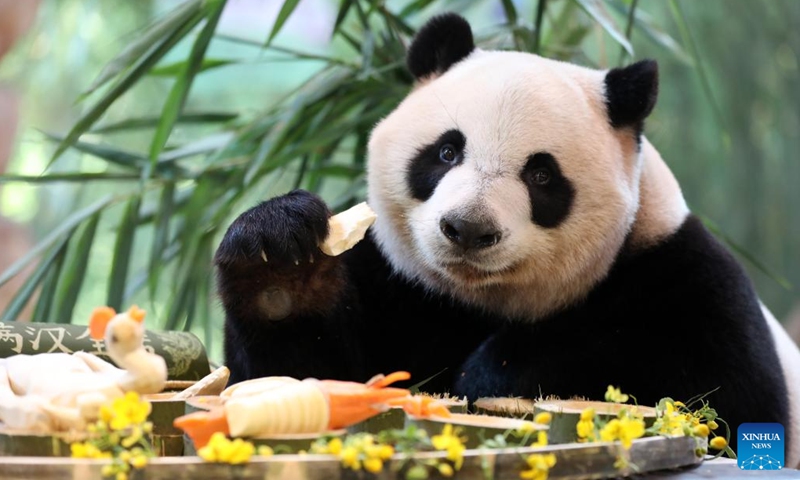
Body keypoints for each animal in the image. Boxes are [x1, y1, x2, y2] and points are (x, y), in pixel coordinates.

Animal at [216, 13, 800, 464]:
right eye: (446, 151)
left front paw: (494, 373)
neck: (480, 300)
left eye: (541, 175)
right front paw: (280, 260)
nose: (469, 229)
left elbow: (723, 400)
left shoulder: (681, 274)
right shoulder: (392, 277)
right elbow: (302, 376)